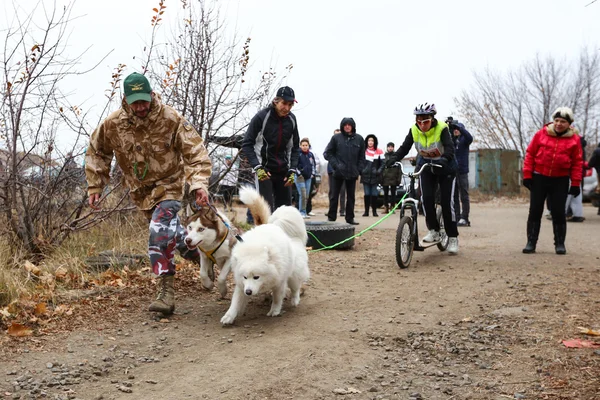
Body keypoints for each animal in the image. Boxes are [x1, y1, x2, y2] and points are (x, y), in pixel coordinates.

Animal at [223, 188, 312, 324]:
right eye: (245, 277)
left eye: (256, 277)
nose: (248, 292)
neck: (253, 251)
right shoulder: (241, 285)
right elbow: (235, 302)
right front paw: (229, 316)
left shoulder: (280, 281)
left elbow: (277, 298)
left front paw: (274, 311)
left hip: (294, 274)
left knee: (295, 287)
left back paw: (295, 300)